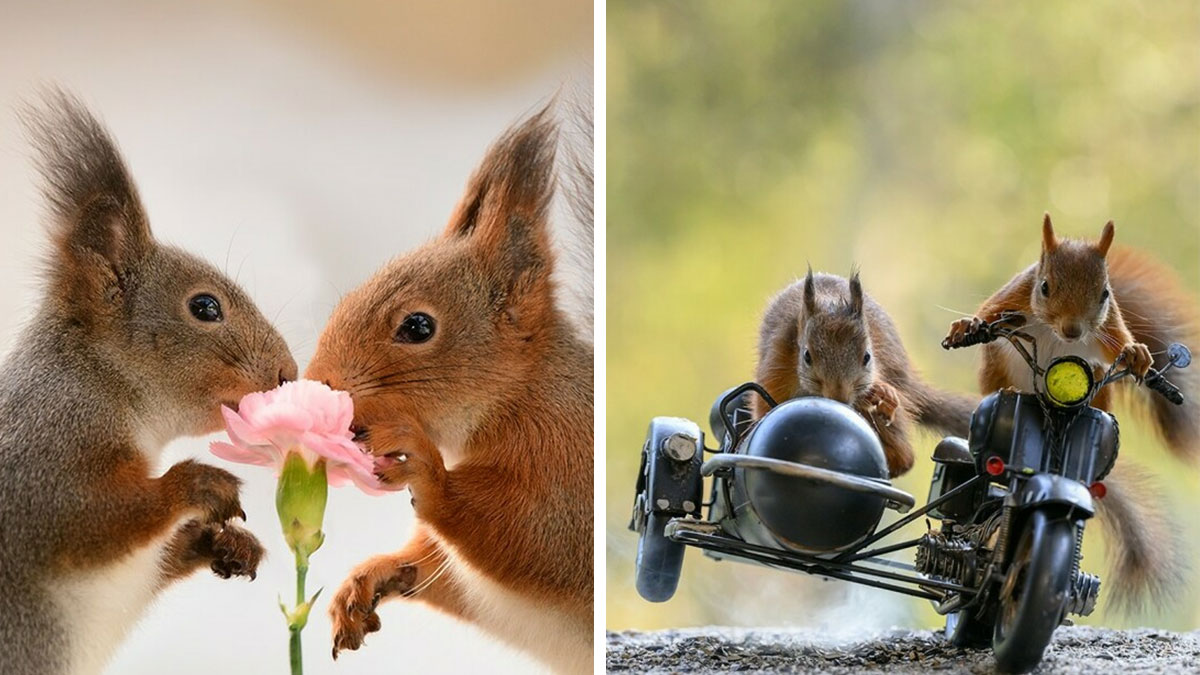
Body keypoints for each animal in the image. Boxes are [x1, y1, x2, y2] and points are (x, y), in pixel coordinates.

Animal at [0, 91, 298, 675]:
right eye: (205, 307)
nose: (289, 373)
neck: (104, 381)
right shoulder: (43, 455)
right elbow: (84, 518)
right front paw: (196, 484)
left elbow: (157, 558)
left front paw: (224, 543)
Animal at [305, 101, 593, 673]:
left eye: (418, 327)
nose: (316, 384)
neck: (521, 398)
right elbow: (441, 572)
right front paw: (371, 578)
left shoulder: (571, 476)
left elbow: (539, 537)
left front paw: (426, 471)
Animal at [754, 269, 978, 477]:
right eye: (807, 356)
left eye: (867, 357)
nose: (840, 398)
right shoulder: (777, 363)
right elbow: (764, 412)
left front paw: (884, 393)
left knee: (905, 456)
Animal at [942, 213, 1199, 607]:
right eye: (1044, 287)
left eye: (1105, 294)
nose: (1073, 329)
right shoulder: (1015, 295)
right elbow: (988, 312)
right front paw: (966, 325)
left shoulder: (1110, 326)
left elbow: (1122, 342)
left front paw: (1138, 355)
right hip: (996, 369)